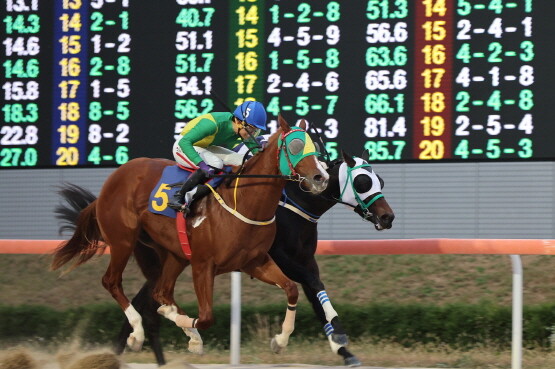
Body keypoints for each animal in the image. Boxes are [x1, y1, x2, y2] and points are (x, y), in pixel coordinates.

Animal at [51, 115, 330, 354]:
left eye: (317, 148)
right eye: (295, 145)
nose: (321, 178)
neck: (243, 201)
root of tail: (115, 177)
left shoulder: (254, 261)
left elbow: (291, 289)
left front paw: (280, 340)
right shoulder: (203, 265)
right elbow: (206, 318)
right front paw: (175, 320)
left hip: (170, 253)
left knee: (161, 291)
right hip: (123, 240)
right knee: (112, 281)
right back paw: (138, 333)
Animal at [55, 150, 396, 366]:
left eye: (380, 179)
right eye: (363, 181)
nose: (387, 217)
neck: (291, 204)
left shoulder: (300, 258)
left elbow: (315, 293)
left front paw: (341, 347)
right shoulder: (281, 257)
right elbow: (312, 285)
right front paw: (337, 338)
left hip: (161, 257)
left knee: (149, 301)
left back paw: (133, 347)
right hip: (135, 246)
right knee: (126, 290)